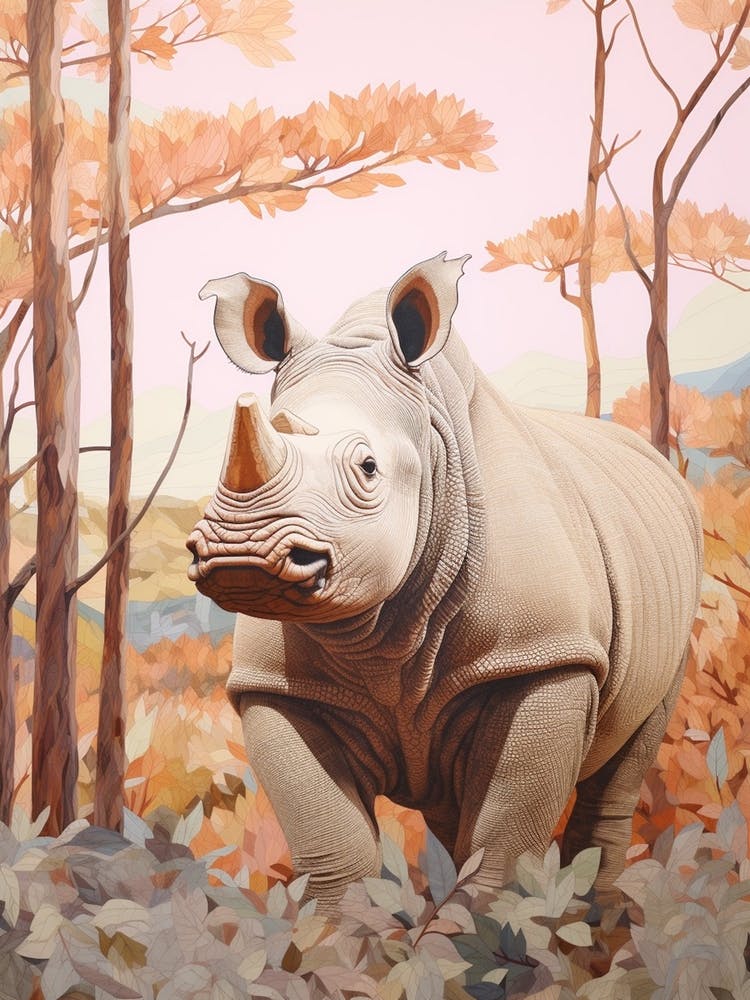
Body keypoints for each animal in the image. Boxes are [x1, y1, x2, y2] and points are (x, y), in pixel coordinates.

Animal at [187, 252, 703, 909]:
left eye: (368, 468)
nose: (241, 552)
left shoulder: (545, 655)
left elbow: (503, 850)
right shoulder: (277, 685)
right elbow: (336, 853)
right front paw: (345, 939)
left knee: (628, 753)